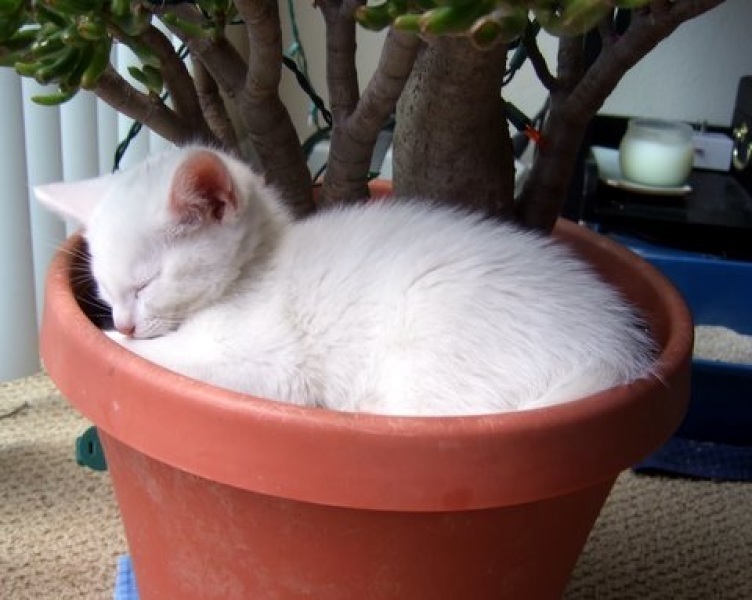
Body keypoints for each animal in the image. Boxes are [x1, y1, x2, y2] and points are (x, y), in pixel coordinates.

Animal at [33, 146, 652, 418]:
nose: (125, 322)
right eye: (105, 290)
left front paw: (112, 344)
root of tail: (614, 346)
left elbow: (173, 359)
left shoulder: (275, 365)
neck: (257, 268)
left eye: (146, 283)